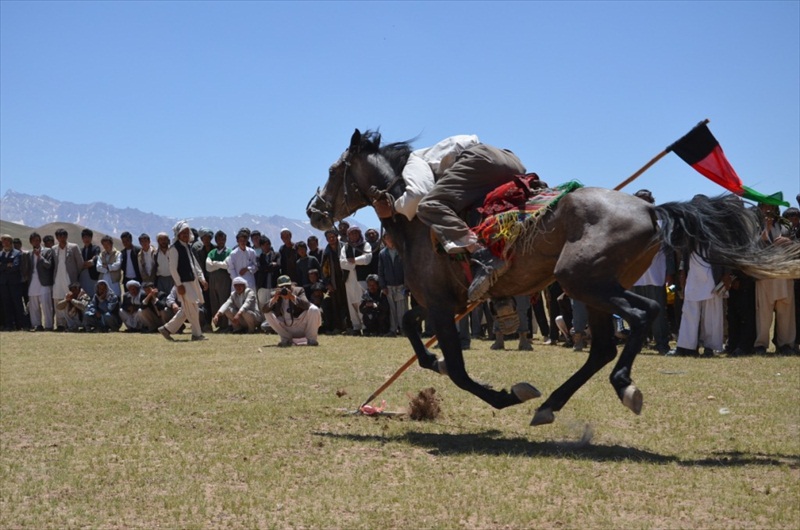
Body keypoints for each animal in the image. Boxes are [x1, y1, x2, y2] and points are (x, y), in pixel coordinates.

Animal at [308, 129, 800, 424]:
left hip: (585, 282)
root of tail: (651, 209)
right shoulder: (439, 303)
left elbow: (460, 371)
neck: (413, 225)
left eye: (333, 170)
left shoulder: (444, 307)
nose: (314, 211)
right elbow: (417, 336)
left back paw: (623, 386)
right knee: (602, 347)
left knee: (645, 313)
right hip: (595, 288)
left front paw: (507, 394)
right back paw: (550, 404)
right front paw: (438, 363)